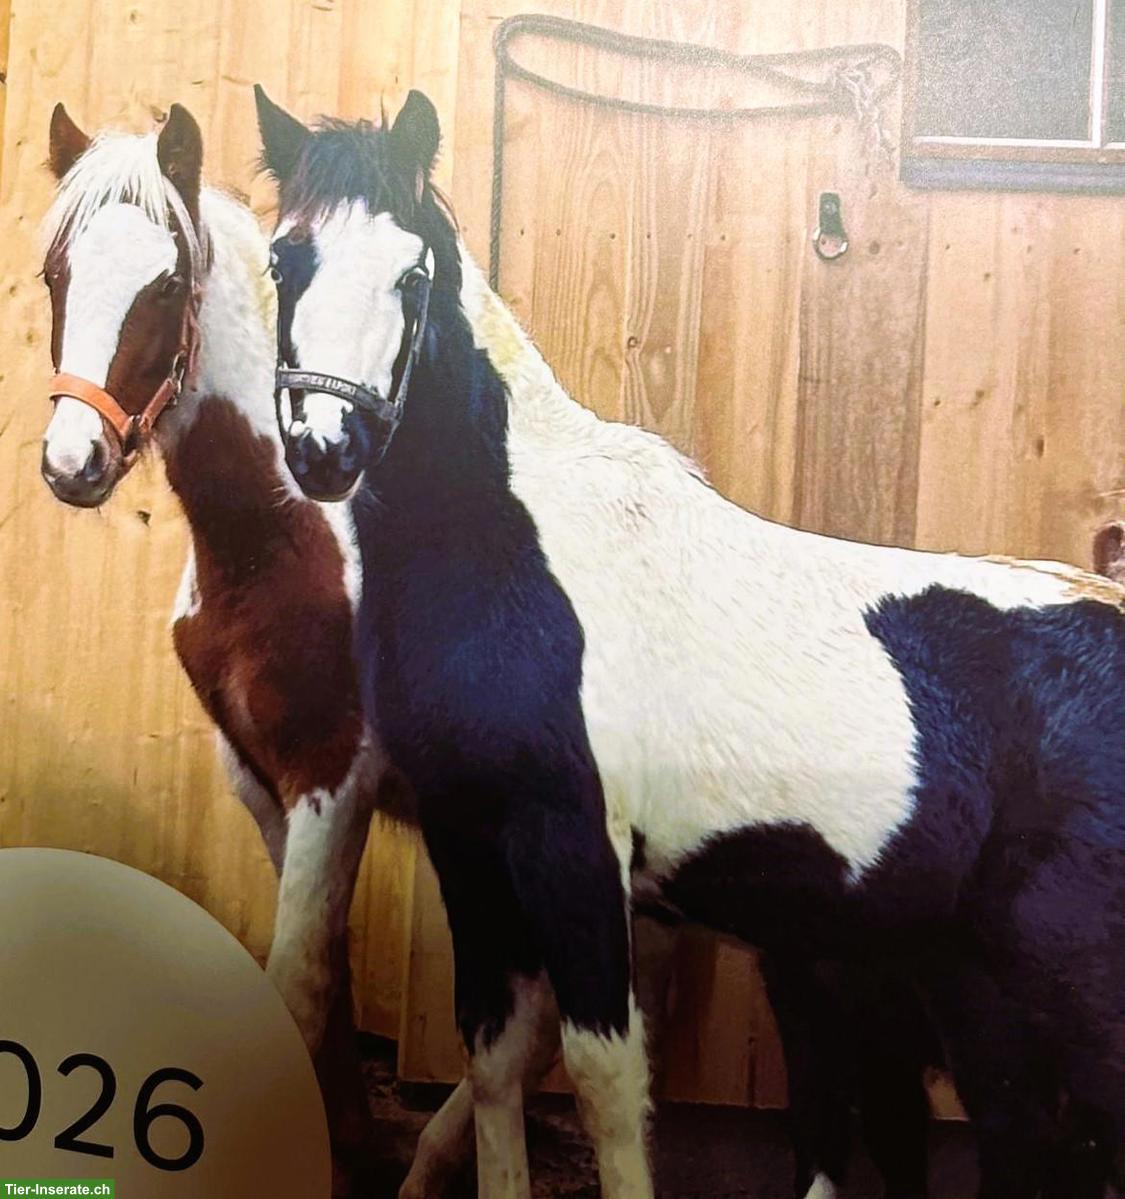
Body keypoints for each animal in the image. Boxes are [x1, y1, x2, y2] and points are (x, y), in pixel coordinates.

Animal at [37, 102, 411, 1193]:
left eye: (165, 287)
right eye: (57, 274)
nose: (71, 463)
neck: (290, 534)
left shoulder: (333, 775)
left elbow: (297, 979)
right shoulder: (261, 778)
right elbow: (326, 970)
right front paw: (351, 1140)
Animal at [253, 85, 1125, 1199]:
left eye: (411, 274)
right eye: (286, 258)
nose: (326, 448)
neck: (513, 550)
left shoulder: (574, 846)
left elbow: (604, 1083)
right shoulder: (469, 841)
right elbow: (492, 1060)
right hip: (976, 984)